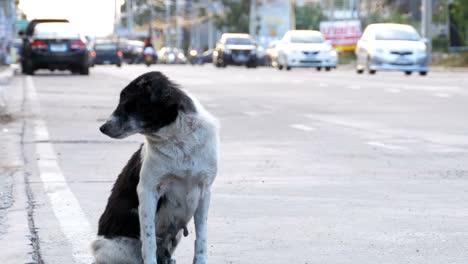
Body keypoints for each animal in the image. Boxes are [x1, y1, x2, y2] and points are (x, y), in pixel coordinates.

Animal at [91, 70, 219, 264]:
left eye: (129, 104)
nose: (102, 128)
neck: (177, 140)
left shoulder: (204, 191)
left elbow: (201, 238)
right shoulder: (148, 190)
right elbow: (149, 239)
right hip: (115, 248)